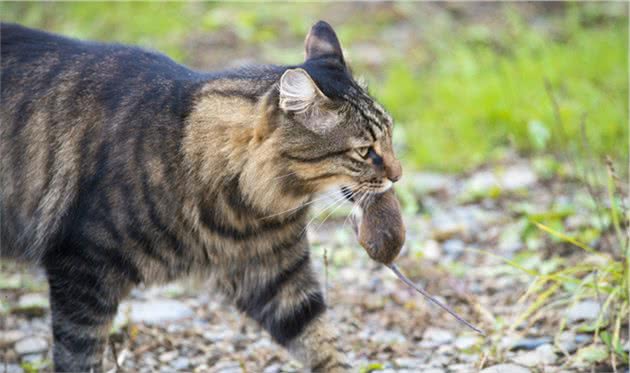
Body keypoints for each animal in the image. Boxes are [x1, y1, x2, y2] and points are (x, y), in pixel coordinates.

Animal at [0, 21, 402, 372]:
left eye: (390, 135)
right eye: (365, 151)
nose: (398, 175)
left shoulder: (276, 276)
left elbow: (321, 343)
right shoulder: (82, 270)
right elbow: (78, 355)